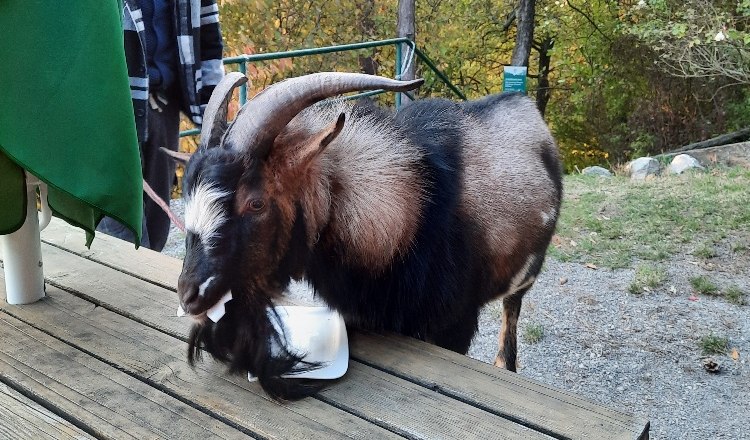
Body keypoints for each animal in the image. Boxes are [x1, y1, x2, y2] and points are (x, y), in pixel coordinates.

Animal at [173, 71, 562, 400]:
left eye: (255, 203)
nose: (189, 295)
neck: (411, 213)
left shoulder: (454, 324)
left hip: (525, 275)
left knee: (512, 309)